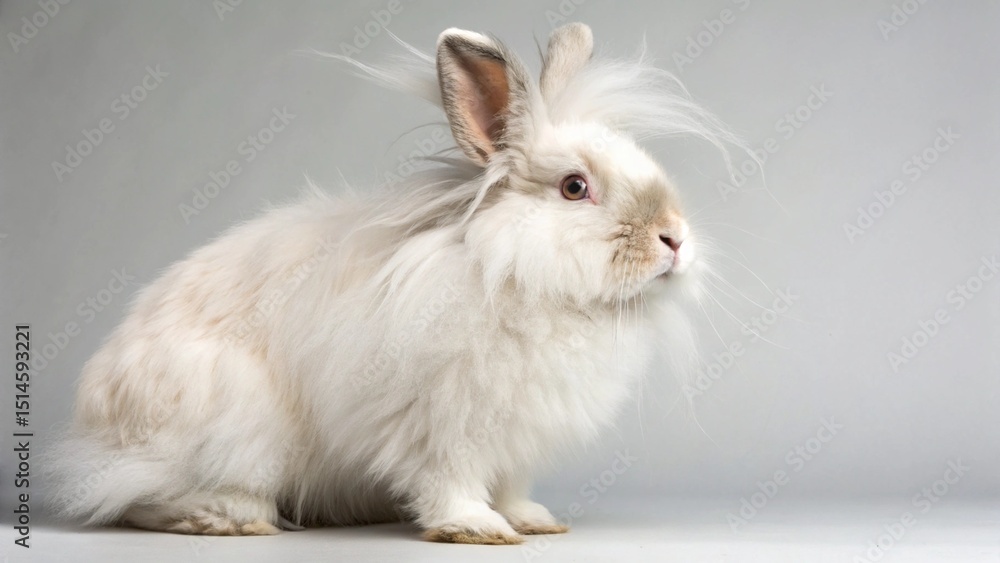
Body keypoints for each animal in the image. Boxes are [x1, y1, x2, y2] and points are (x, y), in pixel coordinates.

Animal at [45, 23, 746, 544]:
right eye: (575, 187)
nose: (675, 238)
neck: (512, 270)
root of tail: (91, 428)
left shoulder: (518, 436)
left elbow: (512, 485)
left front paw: (533, 522)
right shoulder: (444, 420)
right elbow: (451, 479)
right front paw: (476, 530)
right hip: (225, 424)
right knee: (134, 497)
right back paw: (229, 519)